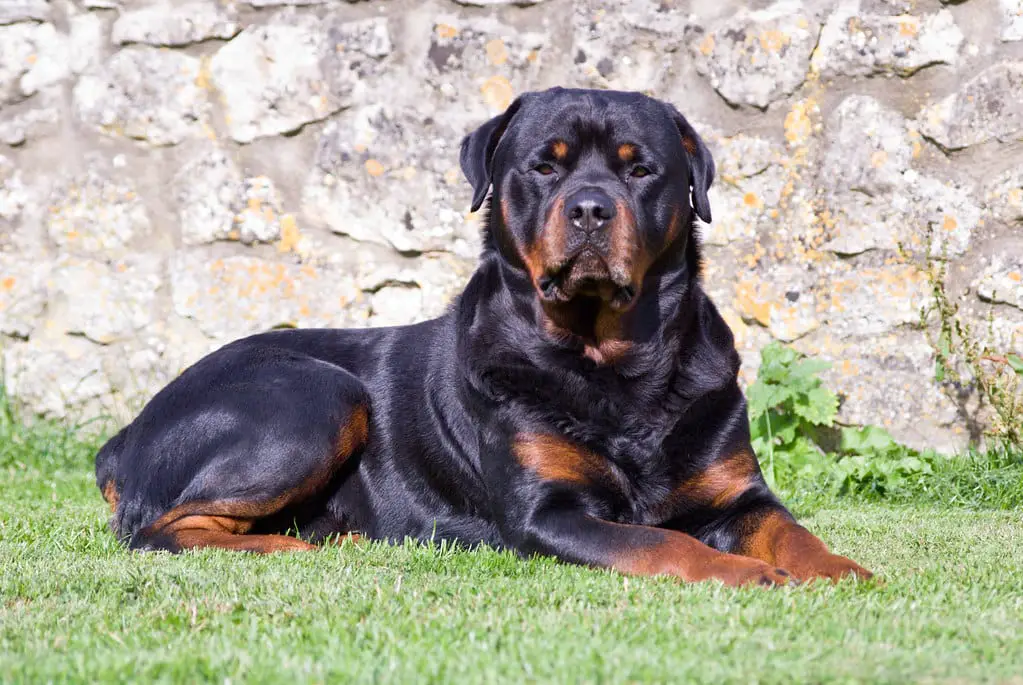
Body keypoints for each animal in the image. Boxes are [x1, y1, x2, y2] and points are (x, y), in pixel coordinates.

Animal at [96, 88, 871, 588]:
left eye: (640, 167)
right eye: (545, 165)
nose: (591, 209)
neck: (613, 364)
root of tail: (125, 433)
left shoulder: (740, 495)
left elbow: (791, 529)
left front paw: (841, 568)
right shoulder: (547, 513)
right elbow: (664, 540)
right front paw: (750, 572)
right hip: (316, 396)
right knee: (155, 530)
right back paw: (290, 550)